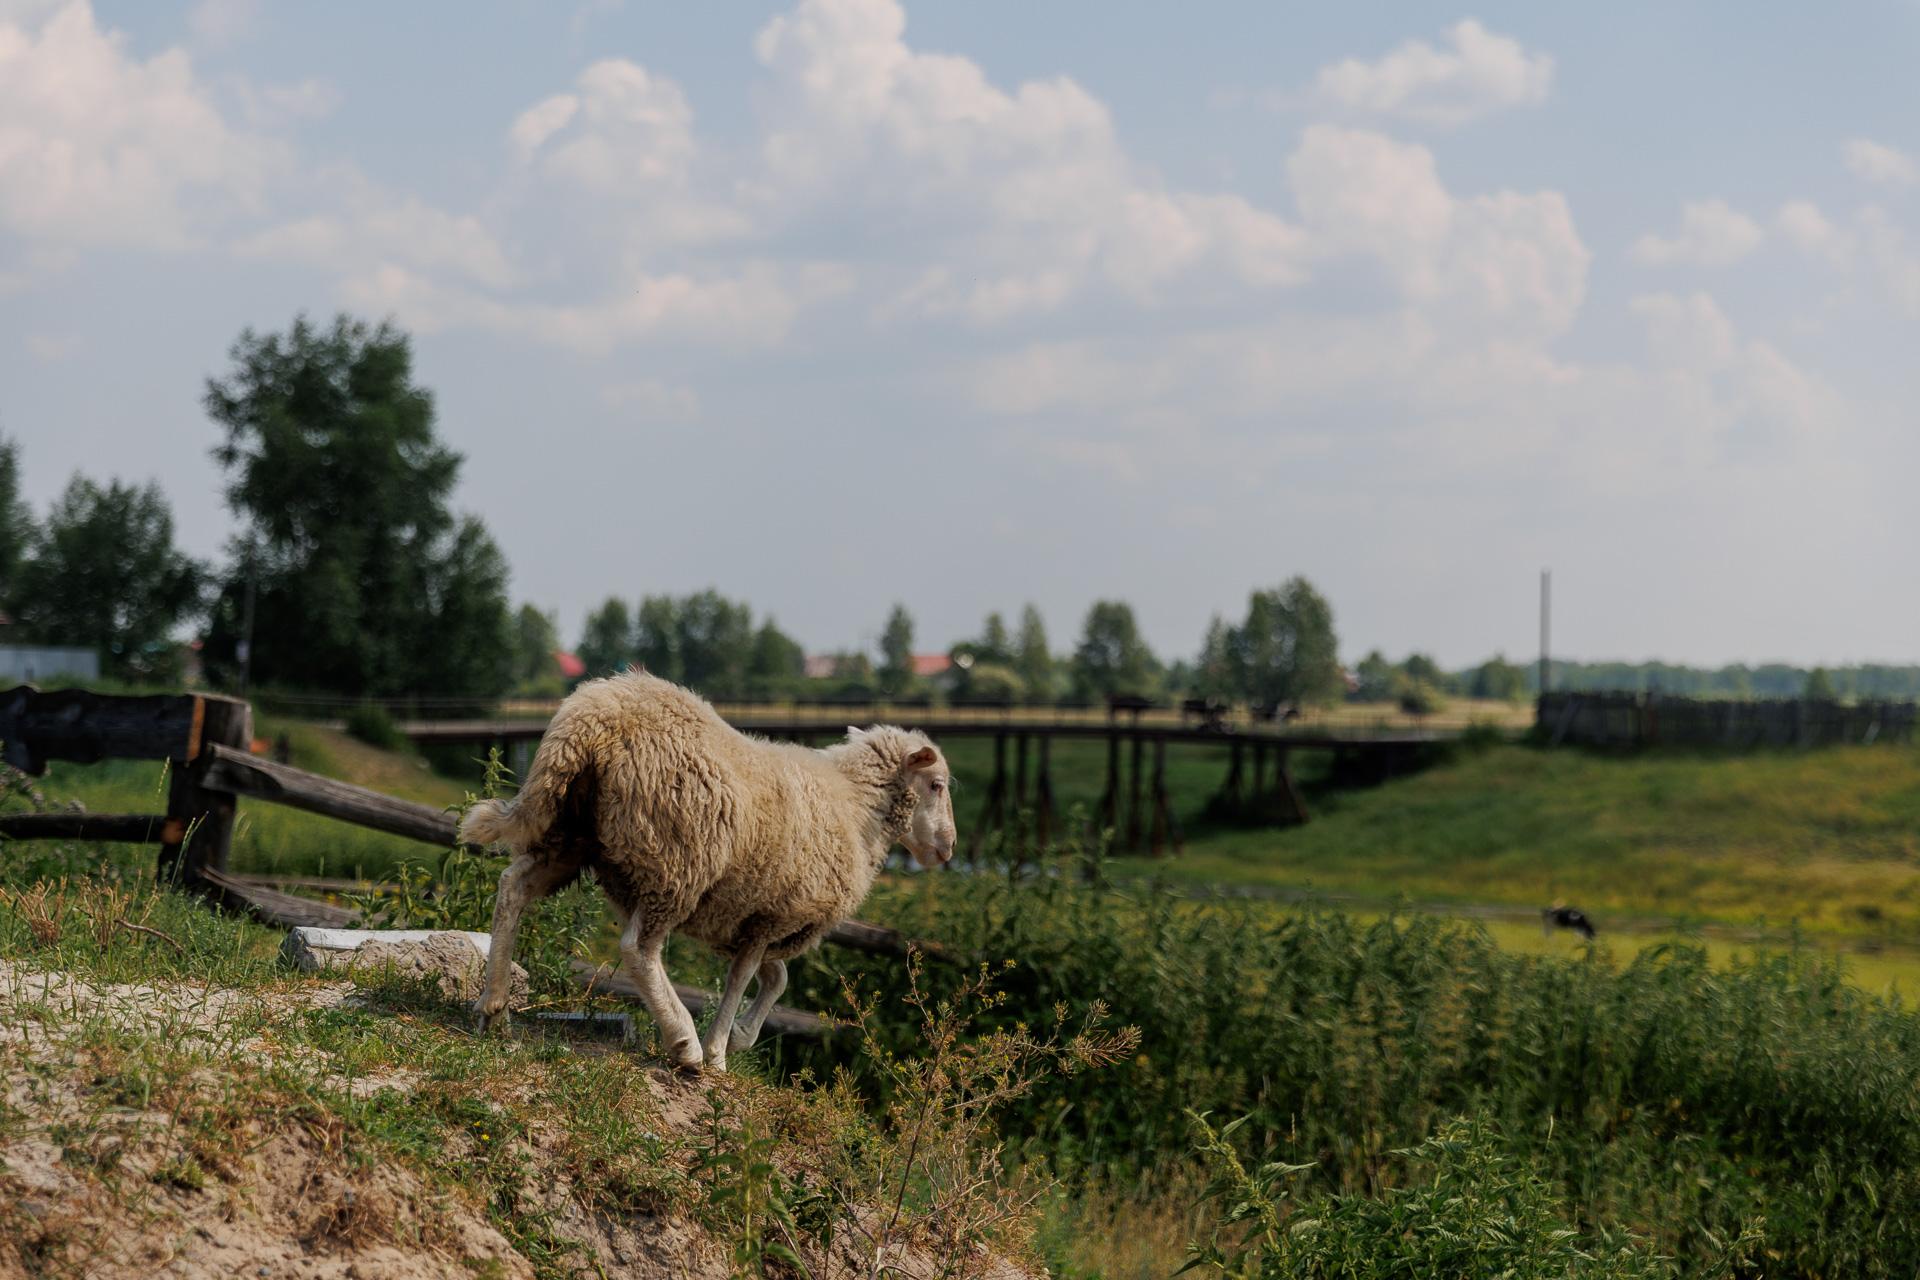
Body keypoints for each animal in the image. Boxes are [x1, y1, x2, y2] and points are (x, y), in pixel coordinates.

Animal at [456, 671, 952, 1074]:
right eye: (938, 785)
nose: (947, 849)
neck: (856, 808)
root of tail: (596, 715)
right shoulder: (772, 914)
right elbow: (743, 979)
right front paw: (717, 1051)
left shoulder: (755, 916)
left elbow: (775, 978)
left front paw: (741, 1037)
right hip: (677, 859)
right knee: (638, 949)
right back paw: (684, 1043)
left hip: (572, 833)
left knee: (512, 889)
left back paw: (494, 1007)